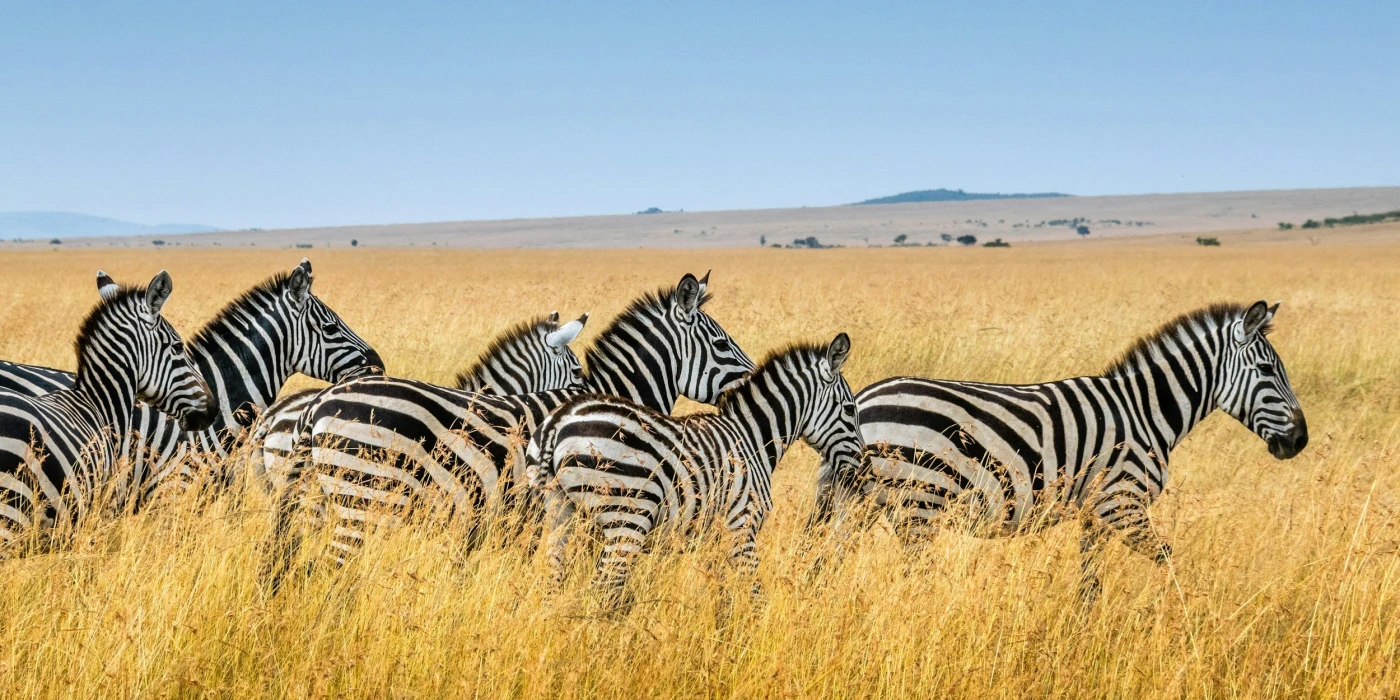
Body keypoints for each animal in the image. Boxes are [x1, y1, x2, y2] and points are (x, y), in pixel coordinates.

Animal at [526, 331, 862, 596]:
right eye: (849, 408)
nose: (861, 466)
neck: (752, 438)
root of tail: (559, 421)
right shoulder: (742, 525)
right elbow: (753, 592)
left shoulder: (714, 536)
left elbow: (722, 593)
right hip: (627, 518)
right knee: (604, 588)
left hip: (559, 513)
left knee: (553, 583)